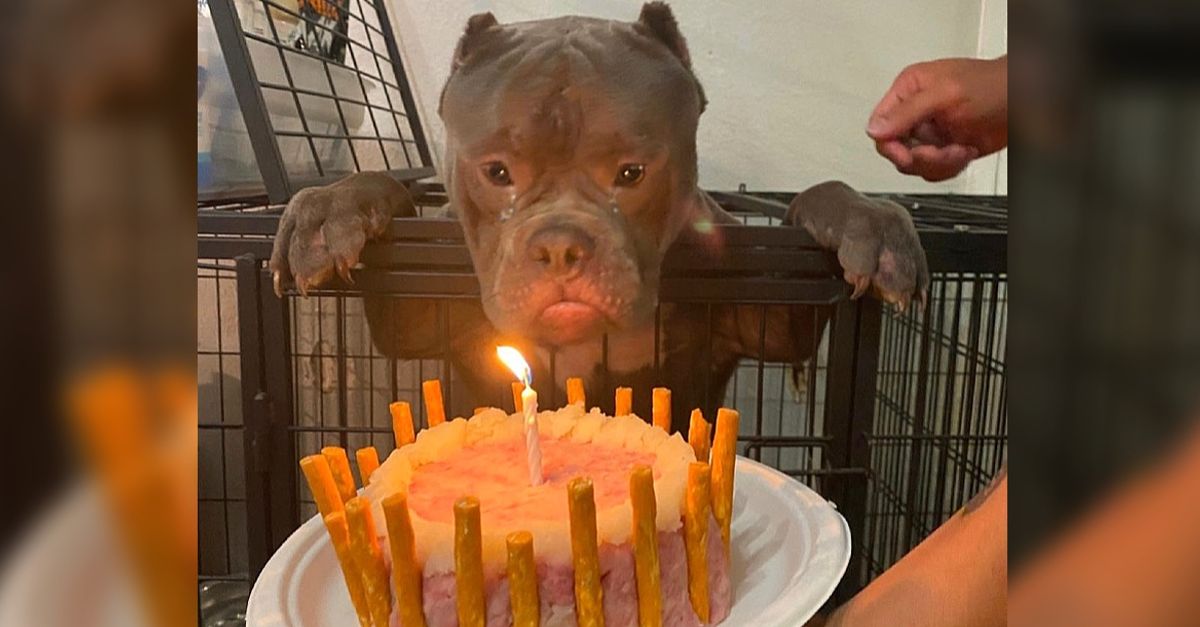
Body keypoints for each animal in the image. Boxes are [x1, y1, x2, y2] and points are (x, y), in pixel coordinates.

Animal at [272, 2, 926, 430]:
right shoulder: (417, 313)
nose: (560, 245)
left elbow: (813, 202)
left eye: (632, 173)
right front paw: (331, 208)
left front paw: (868, 221)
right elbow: (395, 194)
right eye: (497, 172)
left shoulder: (768, 314)